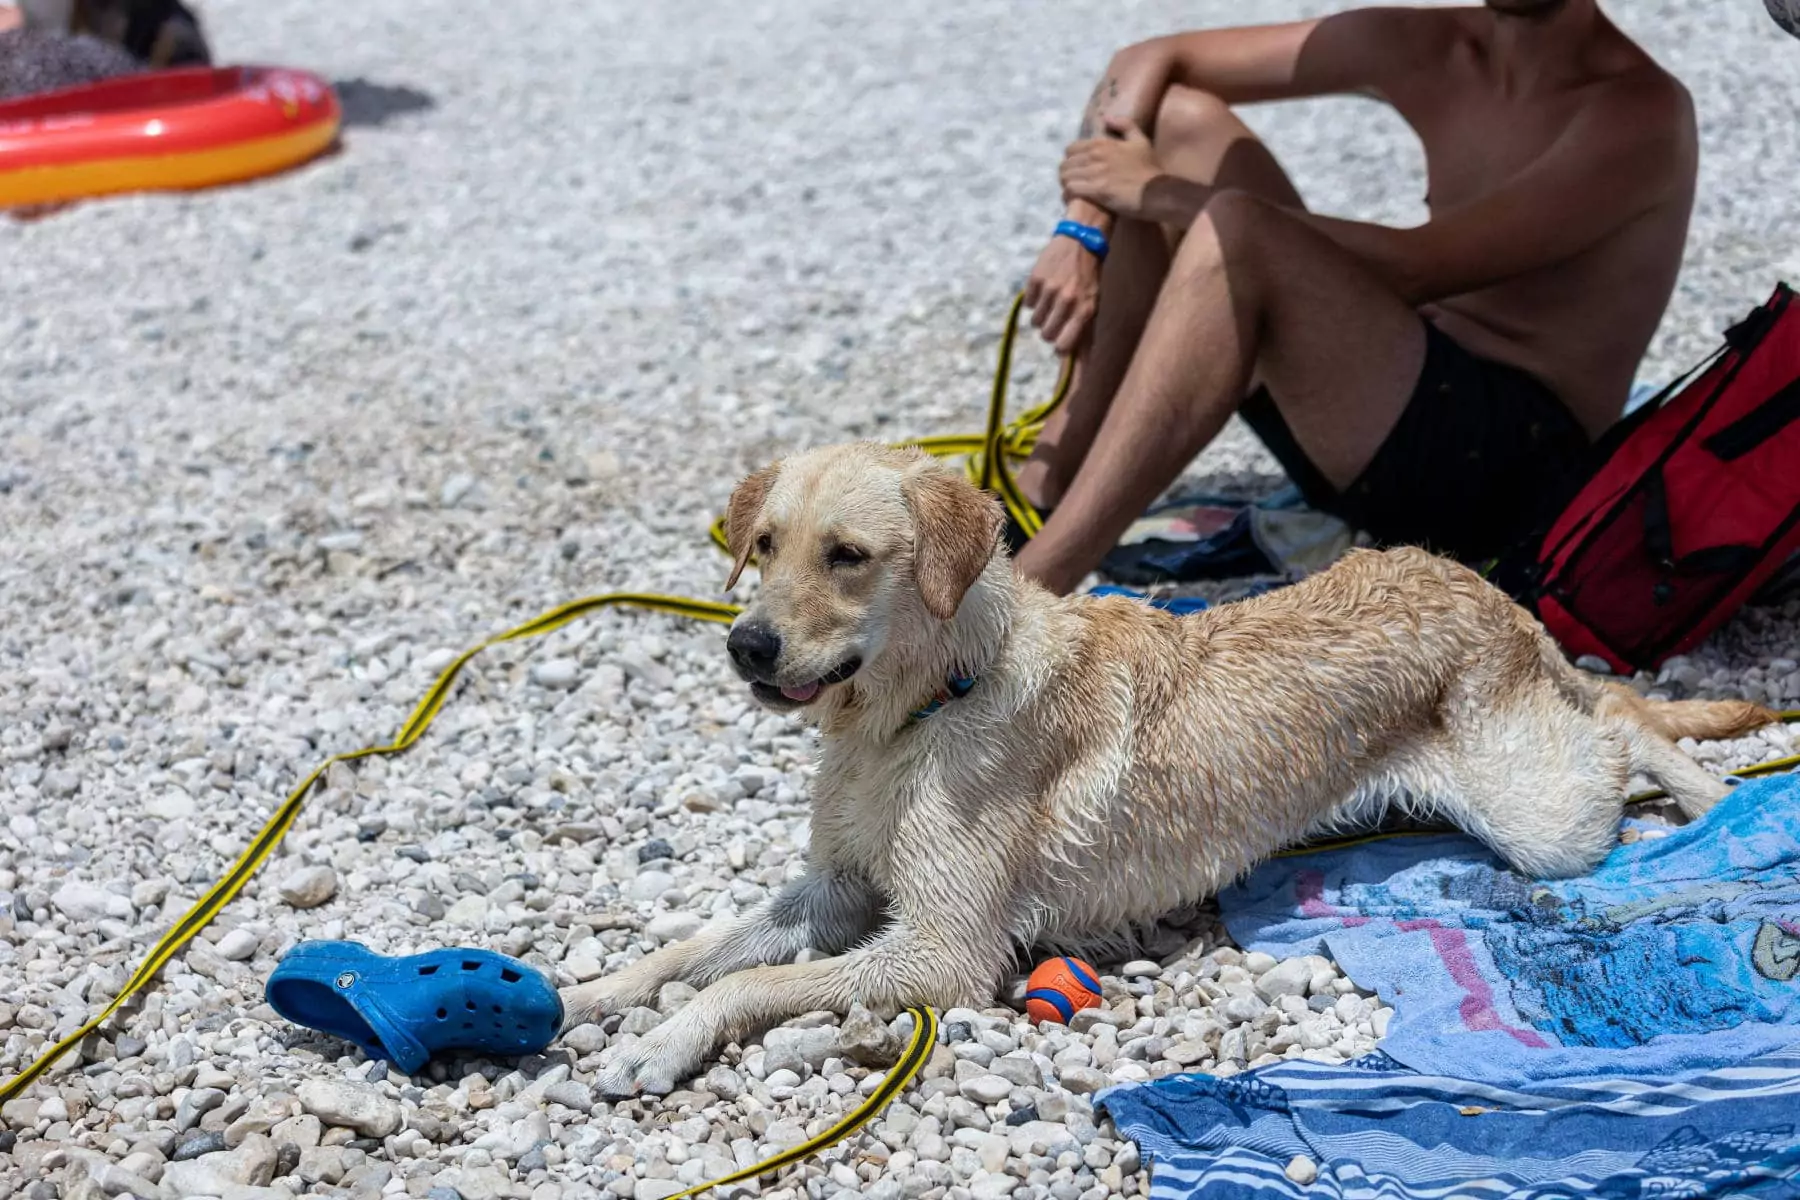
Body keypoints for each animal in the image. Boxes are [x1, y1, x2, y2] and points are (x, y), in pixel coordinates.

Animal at [572, 444, 1771, 1101]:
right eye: (764, 545)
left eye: (849, 557)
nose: (747, 648)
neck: (915, 710)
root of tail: (1480, 584)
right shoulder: (832, 892)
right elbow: (696, 948)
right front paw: (596, 994)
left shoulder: (942, 953)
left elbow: (744, 984)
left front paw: (665, 1042)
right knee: (1610, 708)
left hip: (1541, 813)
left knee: (1620, 720)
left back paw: (1719, 792)